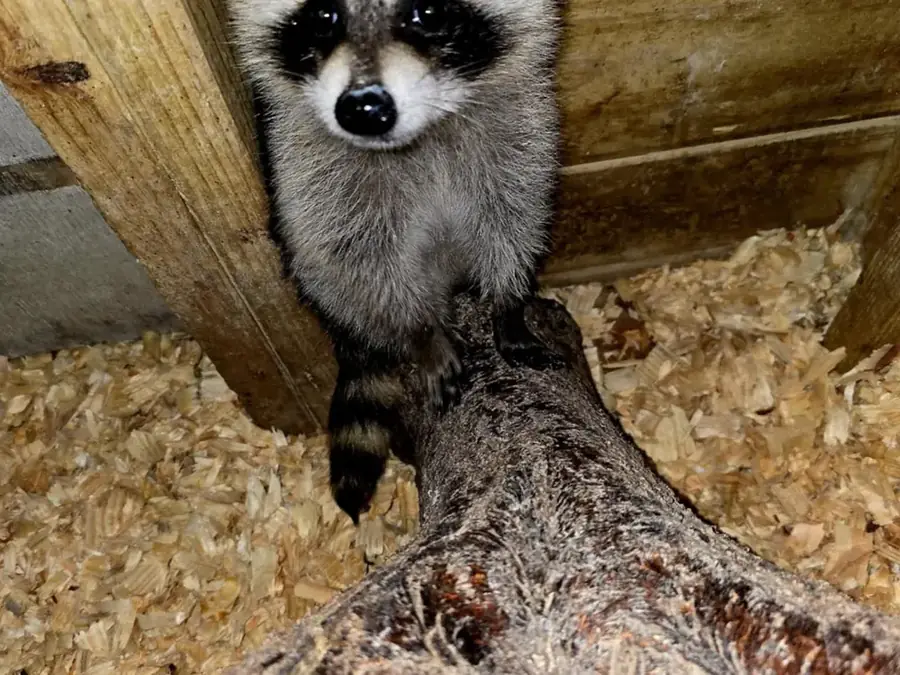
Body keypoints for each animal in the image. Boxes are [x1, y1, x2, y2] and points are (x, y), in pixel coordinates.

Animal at [229, 0, 563, 522]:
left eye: (428, 13)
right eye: (322, 16)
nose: (363, 108)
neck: (424, 133)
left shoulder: (519, 139)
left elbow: (515, 220)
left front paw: (508, 302)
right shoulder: (315, 180)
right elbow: (361, 263)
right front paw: (422, 333)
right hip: (319, 279)